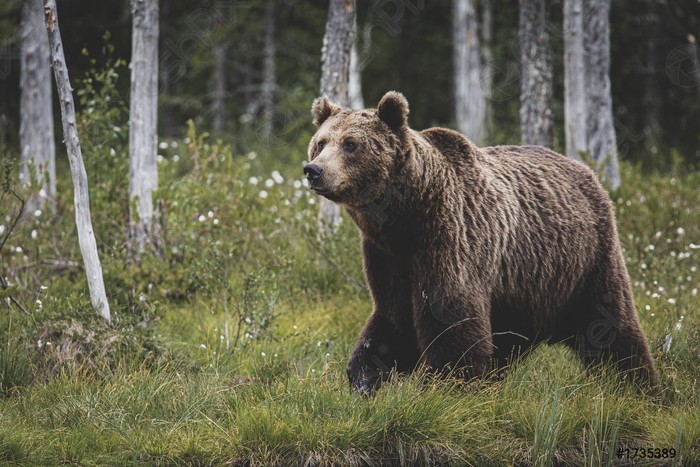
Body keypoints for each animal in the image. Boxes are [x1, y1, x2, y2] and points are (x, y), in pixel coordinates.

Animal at [304, 89, 660, 394]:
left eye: (351, 144)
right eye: (321, 142)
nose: (313, 170)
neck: (404, 217)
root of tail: (587, 171)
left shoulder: (450, 239)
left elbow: (451, 319)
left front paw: (442, 384)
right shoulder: (387, 256)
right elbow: (394, 318)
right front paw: (365, 376)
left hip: (585, 259)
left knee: (609, 326)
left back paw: (638, 385)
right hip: (521, 290)